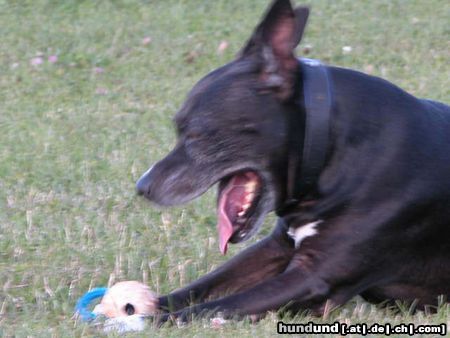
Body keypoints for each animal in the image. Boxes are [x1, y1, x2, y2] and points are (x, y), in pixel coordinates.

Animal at [136, 0, 450, 322]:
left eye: (195, 134)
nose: (141, 187)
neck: (332, 156)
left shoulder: (314, 277)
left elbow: (211, 307)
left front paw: (140, 322)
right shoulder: (275, 247)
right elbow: (196, 290)